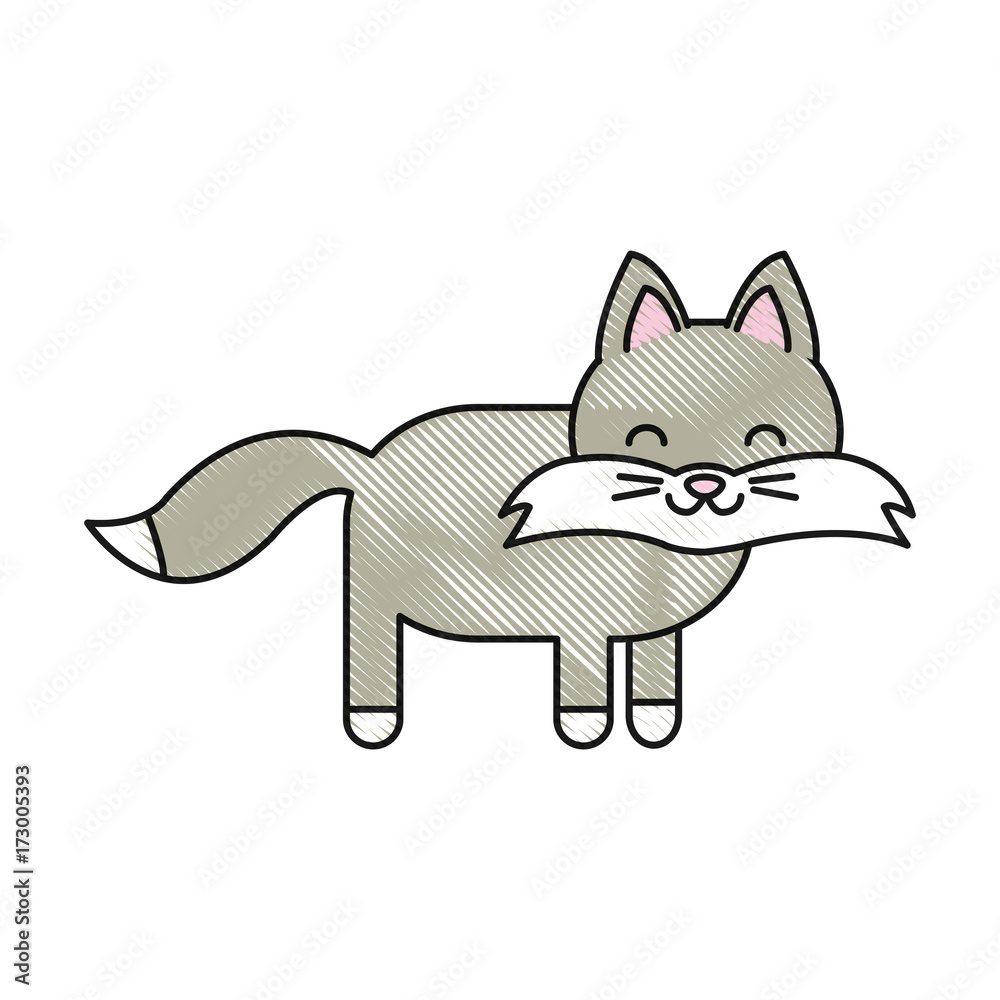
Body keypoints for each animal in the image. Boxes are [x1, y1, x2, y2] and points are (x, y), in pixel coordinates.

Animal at [88, 251, 903, 750]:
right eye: (646, 437)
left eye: (764, 439)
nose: (704, 483)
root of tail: (368, 460)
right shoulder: (578, 624)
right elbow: (582, 689)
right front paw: (585, 735)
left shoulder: (657, 634)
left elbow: (655, 679)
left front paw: (652, 724)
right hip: (374, 595)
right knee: (367, 651)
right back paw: (374, 721)